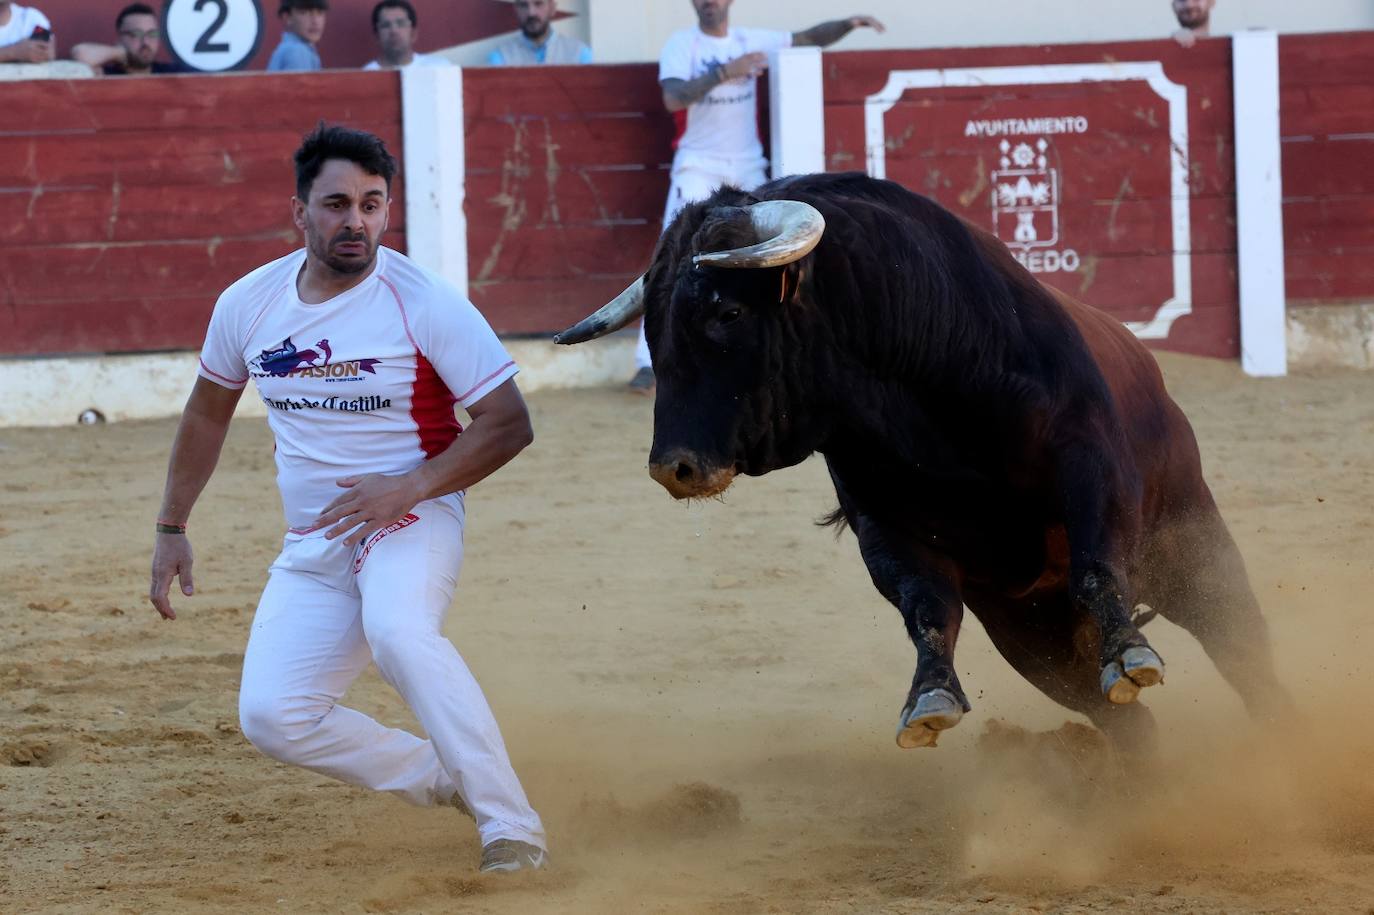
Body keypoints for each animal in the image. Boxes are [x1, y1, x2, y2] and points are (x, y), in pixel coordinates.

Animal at [555, 173, 1286, 752]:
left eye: (728, 311)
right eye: (651, 327)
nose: (672, 467)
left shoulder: (1091, 462)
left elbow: (1097, 566)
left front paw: (1131, 651)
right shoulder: (886, 525)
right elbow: (928, 609)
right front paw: (928, 700)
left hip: (1191, 547)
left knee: (1244, 651)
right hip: (1032, 636)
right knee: (1123, 720)